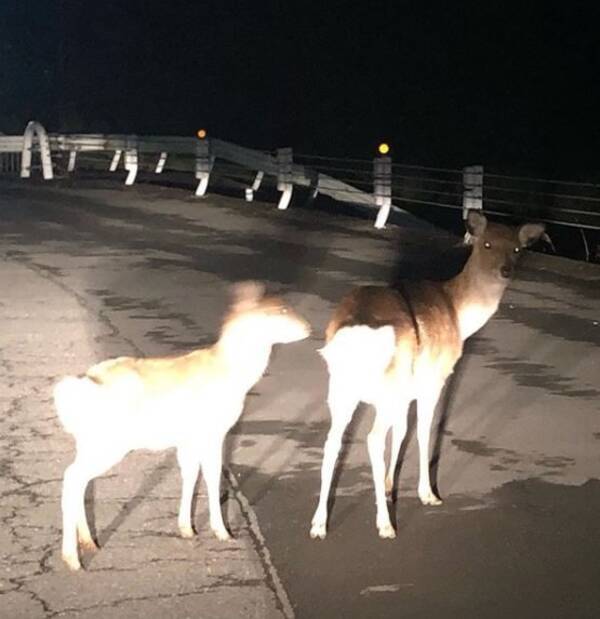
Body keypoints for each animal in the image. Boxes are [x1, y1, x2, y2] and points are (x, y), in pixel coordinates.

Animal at [54, 282, 312, 572]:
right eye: (280, 310)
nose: (308, 327)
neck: (234, 374)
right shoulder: (213, 431)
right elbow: (211, 475)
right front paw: (223, 532)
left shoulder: (190, 438)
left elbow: (190, 474)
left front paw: (187, 529)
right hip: (108, 442)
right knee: (72, 477)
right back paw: (73, 559)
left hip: (90, 442)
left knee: (79, 480)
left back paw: (89, 543)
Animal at [312, 211, 548, 540]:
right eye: (486, 244)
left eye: (517, 249)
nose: (505, 270)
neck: (459, 315)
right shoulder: (433, 380)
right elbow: (423, 430)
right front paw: (428, 494)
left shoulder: (405, 391)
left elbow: (401, 431)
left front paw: (390, 486)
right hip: (384, 386)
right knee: (372, 438)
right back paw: (385, 525)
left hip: (341, 387)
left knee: (333, 440)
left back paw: (319, 524)